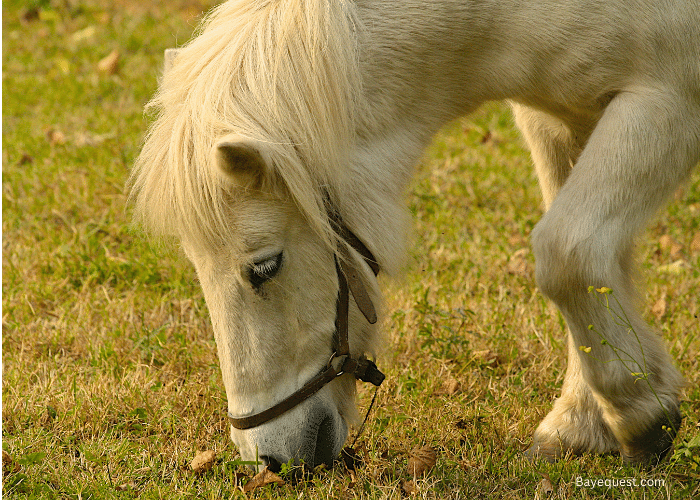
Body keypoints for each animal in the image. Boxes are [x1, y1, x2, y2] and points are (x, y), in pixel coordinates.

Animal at [133, 0, 700, 468]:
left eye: (265, 267)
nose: (267, 460)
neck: (499, 14)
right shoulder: (560, 121)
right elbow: (603, 268)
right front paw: (583, 422)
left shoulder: (667, 102)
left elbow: (567, 256)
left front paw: (641, 417)